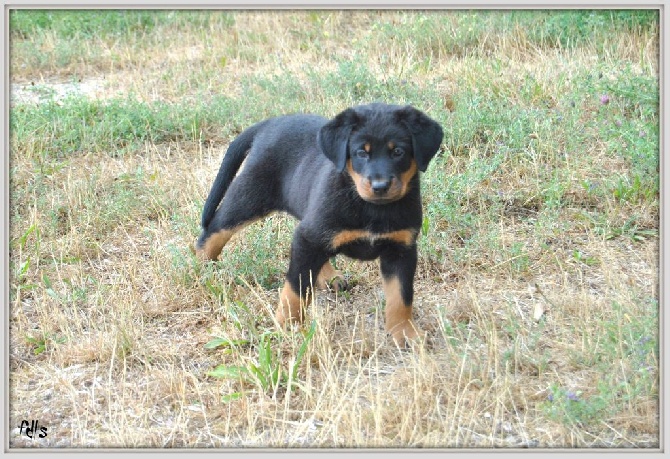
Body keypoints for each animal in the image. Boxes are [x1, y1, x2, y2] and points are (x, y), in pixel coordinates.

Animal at [197, 103, 444, 348]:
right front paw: (288, 326)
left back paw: (329, 276)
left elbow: (400, 296)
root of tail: (270, 122)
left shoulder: (402, 248)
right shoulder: (311, 234)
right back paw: (200, 266)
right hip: (251, 195)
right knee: (216, 228)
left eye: (398, 152)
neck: (373, 208)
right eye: (361, 152)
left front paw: (405, 333)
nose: (380, 186)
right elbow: (296, 288)